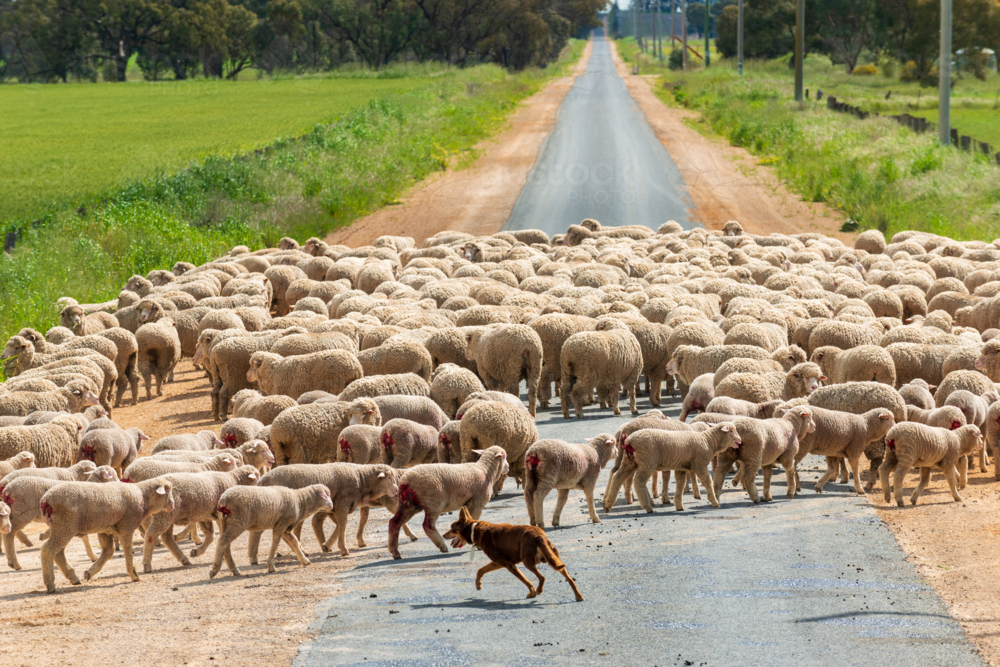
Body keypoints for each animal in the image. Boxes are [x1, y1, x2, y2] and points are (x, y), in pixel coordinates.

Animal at [39, 478, 175, 593]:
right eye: (168, 491)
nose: (173, 505)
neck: (142, 497)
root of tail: (45, 500)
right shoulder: (126, 526)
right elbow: (127, 550)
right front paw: (133, 574)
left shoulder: (105, 530)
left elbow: (108, 552)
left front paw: (90, 572)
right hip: (64, 526)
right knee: (48, 550)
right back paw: (50, 584)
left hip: (62, 528)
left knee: (58, 553)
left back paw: (73, 577)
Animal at [256, 463, 401, 557]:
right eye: (389, 478)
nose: (397, 490)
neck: (361, 480)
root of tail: (261, 480)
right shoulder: (342, 504)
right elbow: (343, 524)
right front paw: (343, 549)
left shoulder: (335, 507)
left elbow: (339, 525)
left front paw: (327, 545)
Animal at [604, 422, 742, 512]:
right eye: (731, 431)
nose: (740, 441)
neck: (708, 440)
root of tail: (629, 441)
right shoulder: (700, 464)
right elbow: (707, 482)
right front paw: (714, 502)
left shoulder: (682, 467)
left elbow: (680, 484)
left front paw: (679, 505)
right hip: (647, 461)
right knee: (638, 481)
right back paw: (647, 507)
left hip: (629, 461)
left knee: (617, 477)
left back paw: (608, 504)